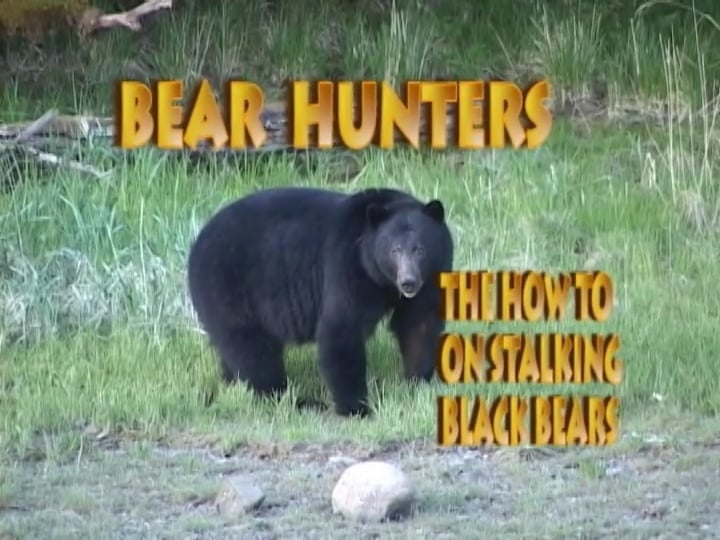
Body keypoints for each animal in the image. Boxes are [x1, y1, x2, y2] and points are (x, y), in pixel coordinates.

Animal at [187, 186, 454, 417]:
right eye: (394, 250)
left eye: (420, 249)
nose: (408, 282)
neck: (380, 279)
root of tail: (197, 243)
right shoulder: (347, 264)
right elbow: (342, 327)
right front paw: (357, 407)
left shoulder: (431, 275)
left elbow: (419, 322)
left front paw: (417, 384)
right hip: (228, 287)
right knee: (252, 351)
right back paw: (292, 400)